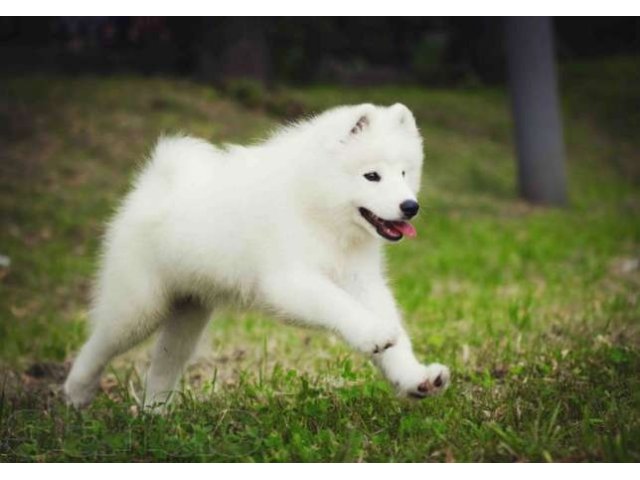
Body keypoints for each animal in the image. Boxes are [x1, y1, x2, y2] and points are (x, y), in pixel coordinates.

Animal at [63, 102, 450, 408]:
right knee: (99, 343)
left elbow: (394, 332)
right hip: (140, 307)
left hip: (188, 312)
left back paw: (154, 416)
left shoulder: (362, 280)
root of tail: (154, 182)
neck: (319, 210)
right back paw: (76, 393)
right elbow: (337, 304)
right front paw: (372, 333)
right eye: (372, 176)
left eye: (404, 173)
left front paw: (414, 378)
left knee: (165, 363)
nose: (410, 206)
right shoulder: (288, 281)